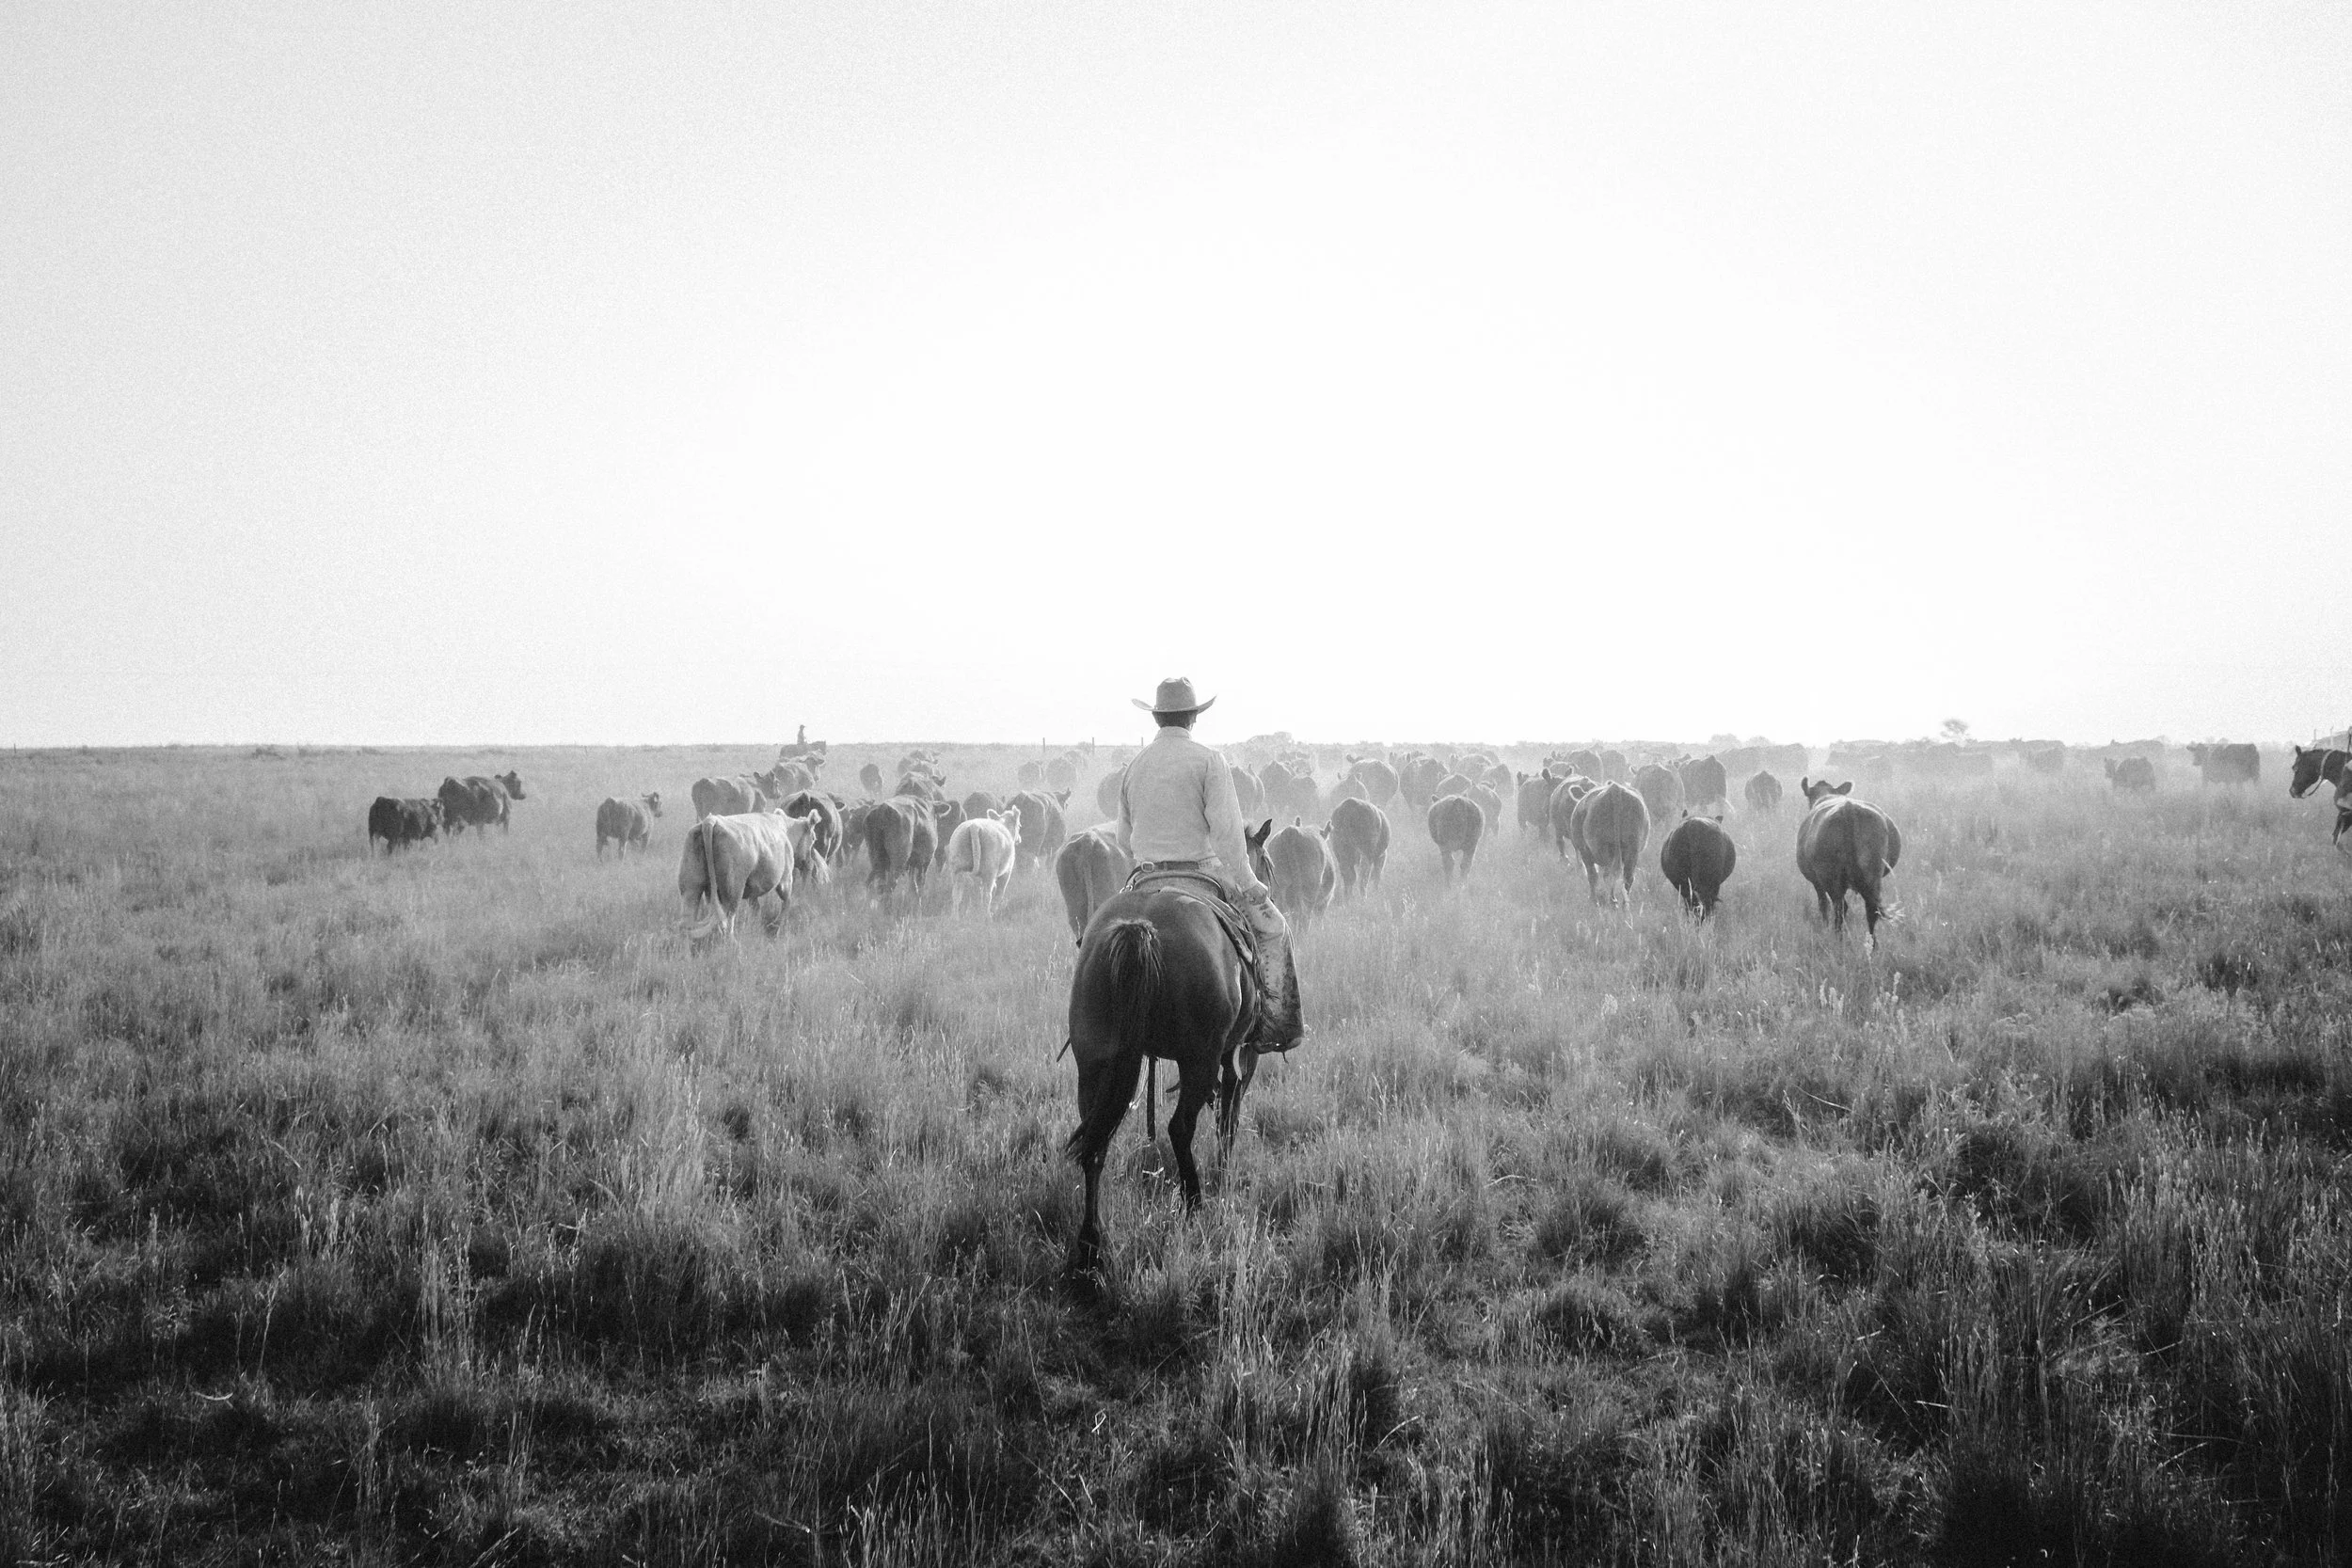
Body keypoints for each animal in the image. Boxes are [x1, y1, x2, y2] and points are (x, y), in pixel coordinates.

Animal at [679, 811, 815, 945]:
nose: (810, 863)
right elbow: (787, 902)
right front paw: (775, 927)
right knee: (728, 918)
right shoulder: (785, 879)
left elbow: (756, 909)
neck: (785, 829)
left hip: (691, 886)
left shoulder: (752, 889)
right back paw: (733, 943)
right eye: (813, 838)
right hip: (733, 887)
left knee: (688, 922)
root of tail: (711, 820)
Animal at [1566, 781, 1649, 906]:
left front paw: (1593, 899)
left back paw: (1612, 900)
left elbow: (1592, 875)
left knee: (1607, 875)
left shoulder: (1585, 851)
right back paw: (1625, 904)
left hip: (1605, 849)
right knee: (1628, 877)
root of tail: (1615, 789)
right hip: (1632, 849)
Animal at [1796, 779, 1903, 943]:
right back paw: (1872, 945)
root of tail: (1849, 809)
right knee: (1871, 910)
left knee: (1839, 907)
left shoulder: (1816, 881)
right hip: (1873, 874)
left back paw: (1838, 939)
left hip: (1830, 876)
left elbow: (1823, 904)